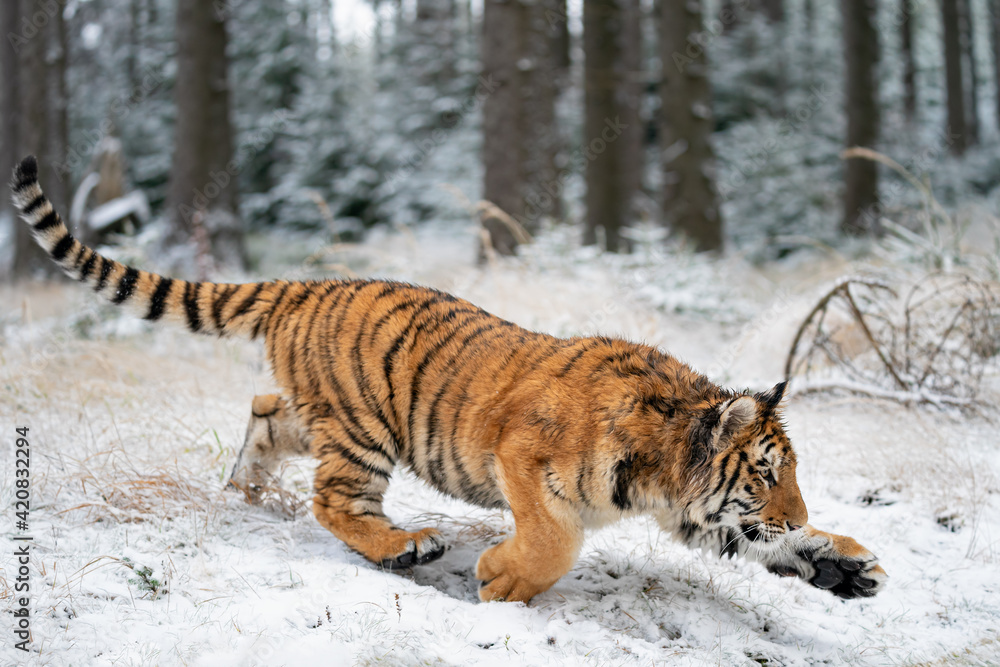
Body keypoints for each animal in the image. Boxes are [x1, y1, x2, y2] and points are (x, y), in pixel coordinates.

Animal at [11, 155, 886, 603]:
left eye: (791, 475)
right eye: (766, 472)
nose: (796, 508)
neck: (667, 459)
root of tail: (307, 286)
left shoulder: (692, 512)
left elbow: (764, 542)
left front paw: (841, 561)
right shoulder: (524, 457)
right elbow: (554, 539)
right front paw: (501, 578)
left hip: (321, 414)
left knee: (263, 411)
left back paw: (245, 492)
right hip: (364, 429)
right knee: (336, 501)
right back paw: (407, 545)